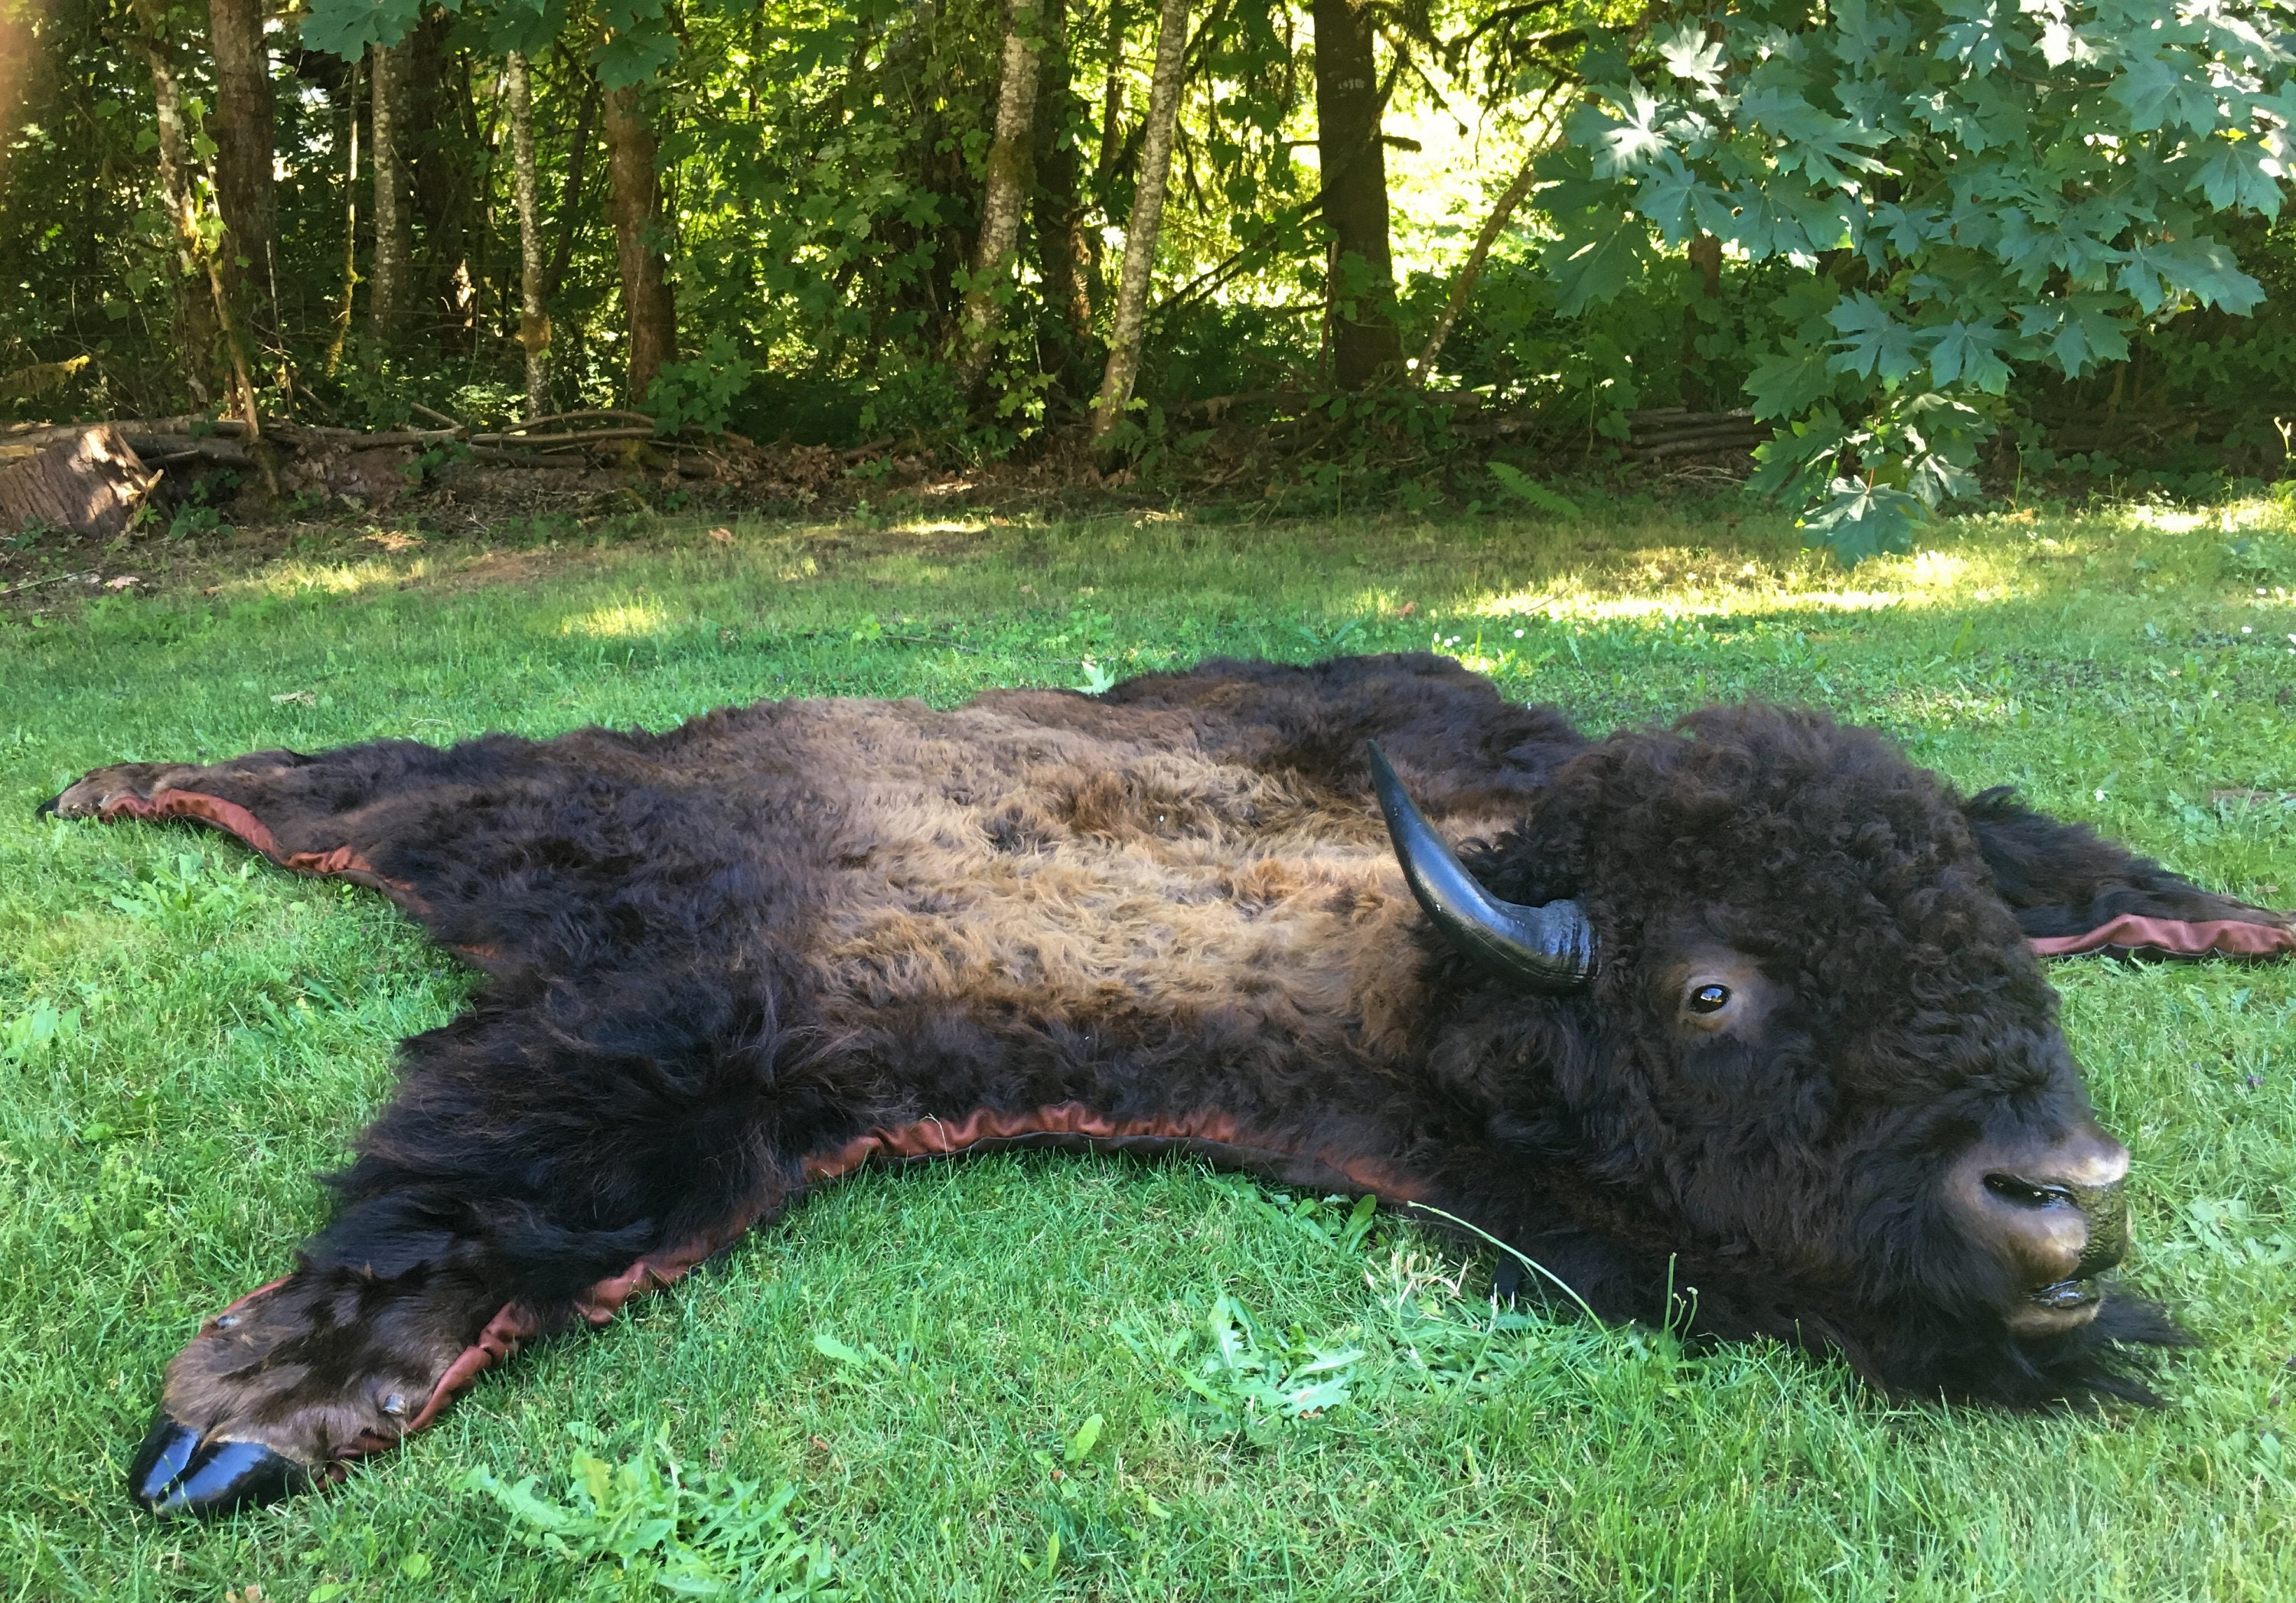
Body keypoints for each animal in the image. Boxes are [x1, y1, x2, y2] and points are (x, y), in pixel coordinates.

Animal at [43, 653, 2292, 1517]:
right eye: (1714, 986)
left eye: (1968, 948)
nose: (2068, 1194)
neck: (1399, 956)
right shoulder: (718, 1025)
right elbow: (513, 1185)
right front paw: (243, 1420)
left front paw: (2218, 914)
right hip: (500, 807)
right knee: (347, 782)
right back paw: (108, 781)